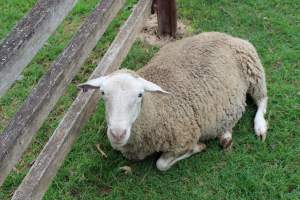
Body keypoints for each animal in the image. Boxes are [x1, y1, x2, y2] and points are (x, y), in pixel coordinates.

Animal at [78, 32, 268, 171]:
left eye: (140, 95)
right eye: (103, 93)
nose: (117, 134)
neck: (155, 109)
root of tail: (224, 34)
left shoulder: (185, 137)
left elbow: (161, 164)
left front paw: (197, 147)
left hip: (254, 69)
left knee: (262, 100)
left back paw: (259, 127)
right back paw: (226, 135)